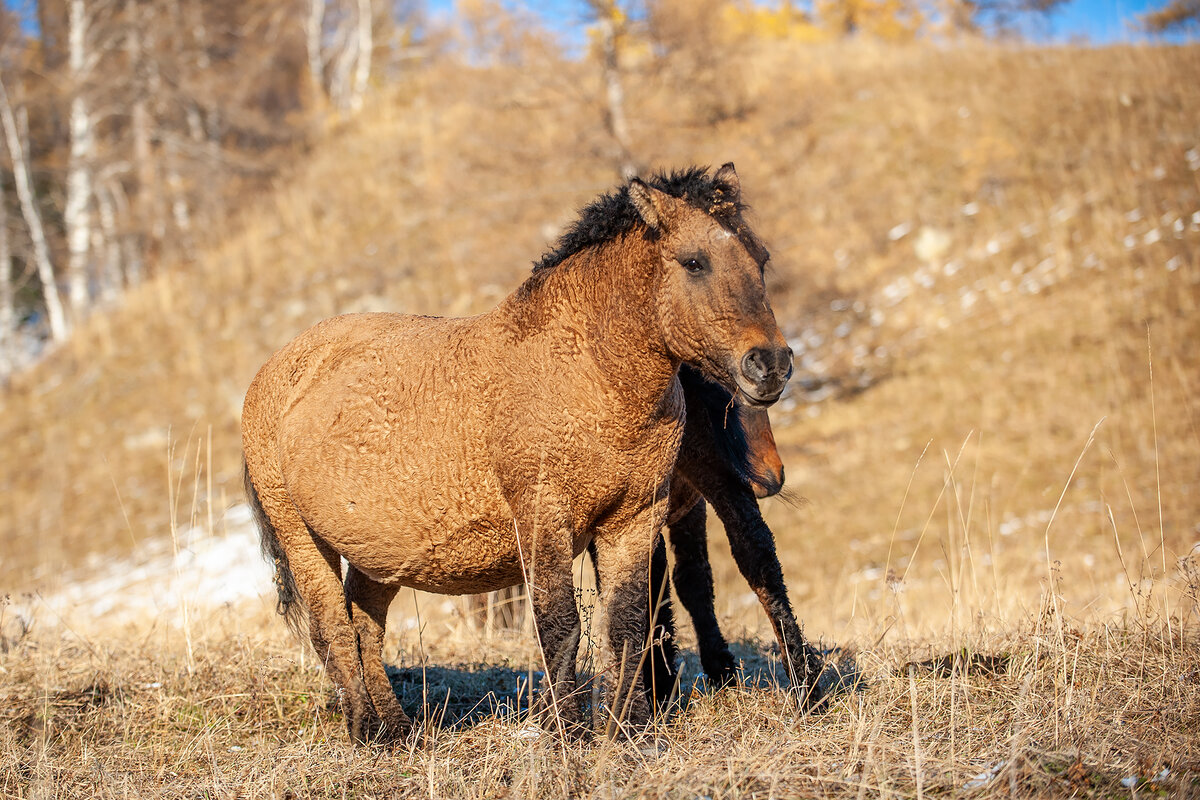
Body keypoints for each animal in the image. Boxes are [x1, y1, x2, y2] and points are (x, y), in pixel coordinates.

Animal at [238, 164, 792, 743]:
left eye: (760, 258)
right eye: (694, 261)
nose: (770, 364)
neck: (583, 371)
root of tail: (275, 370)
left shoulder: (636, 519)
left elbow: (628, 625)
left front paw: (629, 728)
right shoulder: (544, 517)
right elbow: (561, 626)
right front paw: (571, 732)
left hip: (379, 553)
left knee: (366, 623)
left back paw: (399, 728)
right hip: (301, 537)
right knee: (333, 628)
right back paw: (369, 731)